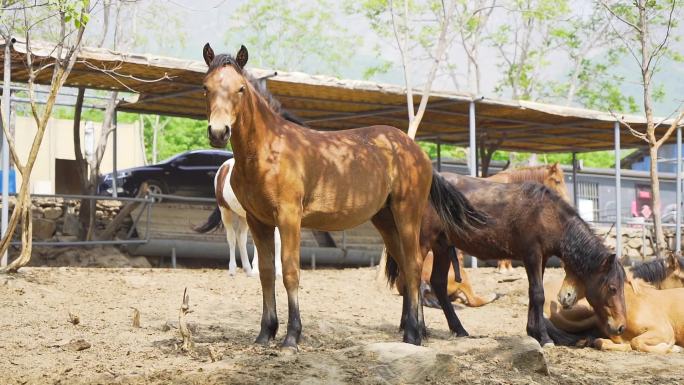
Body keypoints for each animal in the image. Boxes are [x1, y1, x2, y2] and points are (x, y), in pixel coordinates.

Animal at [200, 44, 484, 348]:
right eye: (206, 87)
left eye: (240, 88)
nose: (218, 132)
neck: (268, 151)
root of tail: (417, 151)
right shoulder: (258, 221)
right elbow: (265, 274)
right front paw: (265, 333)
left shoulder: (289, 217)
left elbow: (289, 271)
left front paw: (291, 337)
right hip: (385, 220)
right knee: (406, 270)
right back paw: (414, 330)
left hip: (407, 213)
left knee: (415, 265)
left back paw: (413, 334)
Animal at [384, 174, 624, 344]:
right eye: (612, 288)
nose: (621, 327)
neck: (548, 214)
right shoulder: (532, 254)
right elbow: (538, 295)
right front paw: (544, 337)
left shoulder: (541, 258)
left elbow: (533, 295)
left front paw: (533, 332)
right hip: (424, 243)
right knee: (413, 277)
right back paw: (417, 329)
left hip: (442, 246)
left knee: (437, 284)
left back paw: (455, 329)